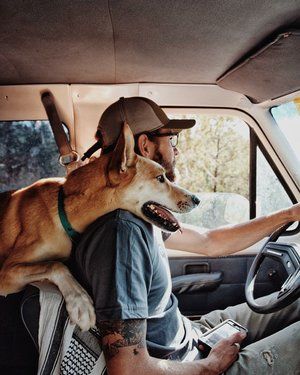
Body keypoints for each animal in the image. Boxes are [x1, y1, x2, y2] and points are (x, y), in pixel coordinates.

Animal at [0, 122, 199, 328]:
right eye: (160, 178)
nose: (197, 199)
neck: (65, 210)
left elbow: (56, 263)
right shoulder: (6, 272)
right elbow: (55, 265)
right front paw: (80, 302)